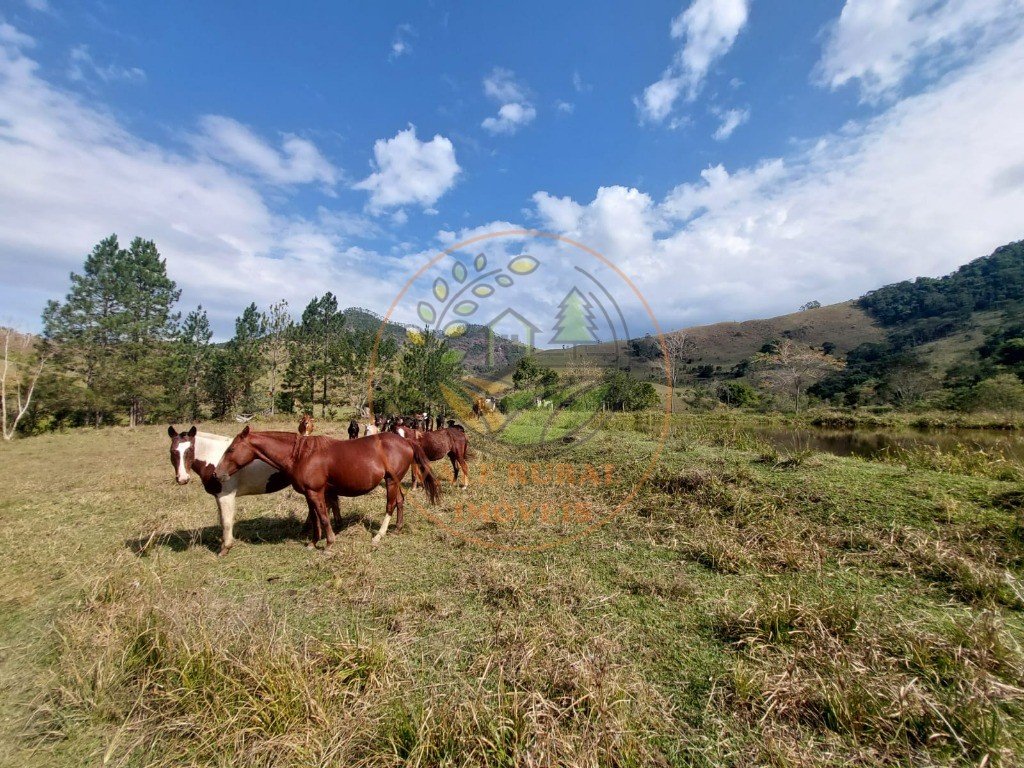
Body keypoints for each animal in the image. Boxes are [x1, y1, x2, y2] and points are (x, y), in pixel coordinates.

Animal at [164, 423, 339, 557]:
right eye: (173, 451)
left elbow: (226, 522)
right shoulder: (218, 497)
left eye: (189, 450)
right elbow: (222, 520)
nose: (182, 479)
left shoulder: (226, 496)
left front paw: (225, 549)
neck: (214, 458)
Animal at [216, 428, 440, 548]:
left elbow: (323, 517)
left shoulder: (316, 492)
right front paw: (313, 542)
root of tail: (406, 440)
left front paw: (329, 543)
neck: (301, 455)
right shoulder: (309, 494)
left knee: (390, 505)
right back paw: (398, 528)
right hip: (394, 480)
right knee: (400, 502)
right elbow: (315, 518)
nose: (217, 473)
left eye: (231, 449)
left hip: (391, 481)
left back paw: (379, 535)